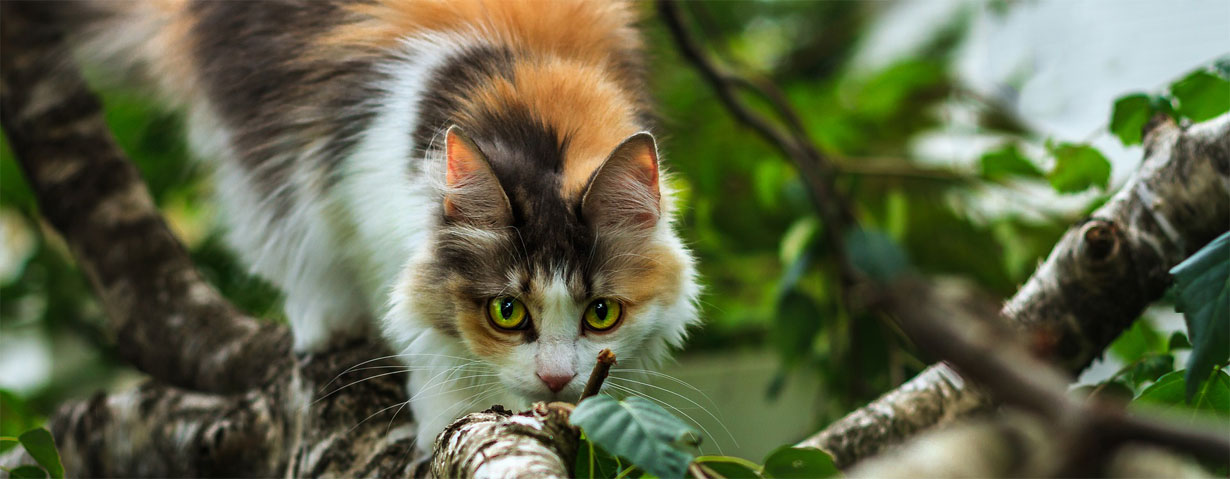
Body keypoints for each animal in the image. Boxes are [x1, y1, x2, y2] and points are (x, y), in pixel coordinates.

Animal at [62, 0, 703, 448]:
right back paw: (324, 321)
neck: (537, 118)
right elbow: (425, 339)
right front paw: (446, 413)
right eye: (507, 312)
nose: (555, 380)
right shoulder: (357, 196)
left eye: (602, 314)